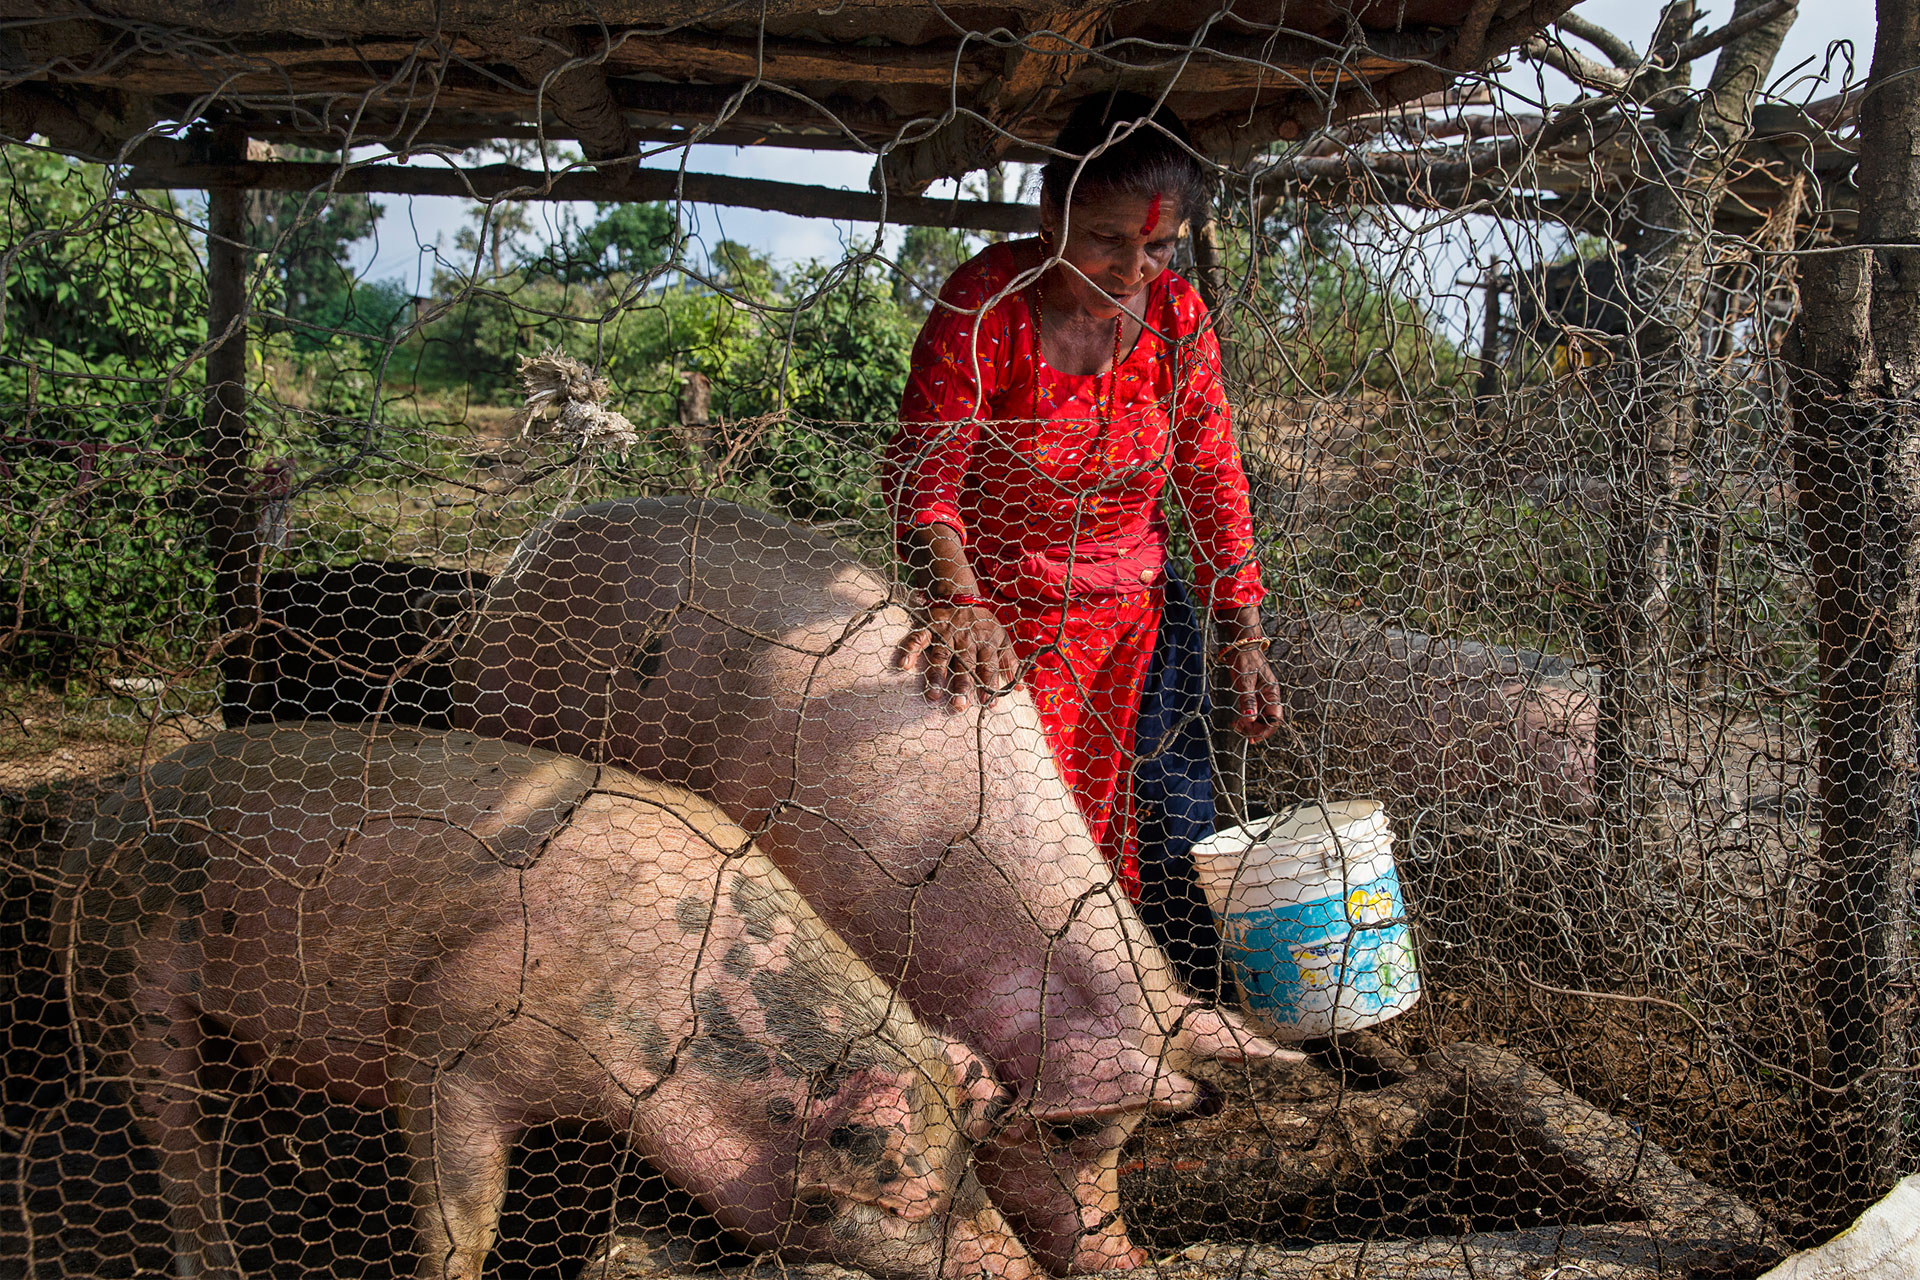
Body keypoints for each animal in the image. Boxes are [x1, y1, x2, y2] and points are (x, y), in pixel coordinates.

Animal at [56, 725, 1036, 1280]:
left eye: (973, 1166)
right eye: (910, 1200)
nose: (1022, 1267)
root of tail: (106, 809)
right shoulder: (446, 1044)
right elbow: (461, 1220)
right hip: (129, 971)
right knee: (171, 1130)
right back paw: (218, 1259)